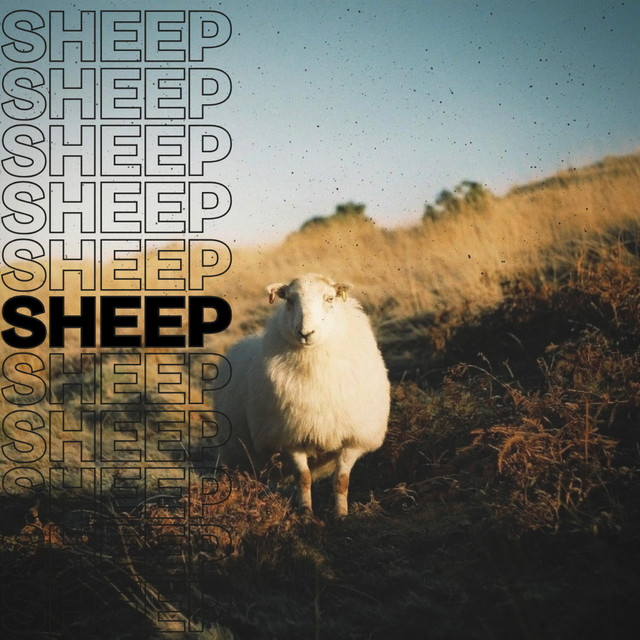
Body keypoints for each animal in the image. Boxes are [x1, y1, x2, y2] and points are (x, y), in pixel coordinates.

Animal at [217, 273, 390, 517]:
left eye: (330, 299)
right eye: (289, 301)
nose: (306, 333)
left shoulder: (353, 439)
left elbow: (341, 480)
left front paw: (341, 515)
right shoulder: (291, 436)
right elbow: (304, 478)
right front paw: (306, 514)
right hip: (234, 454)